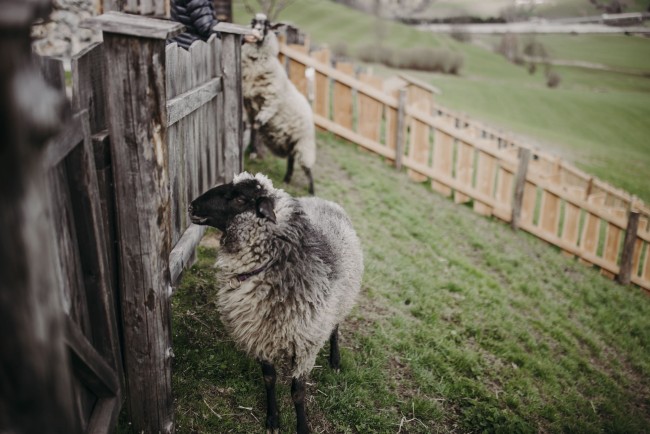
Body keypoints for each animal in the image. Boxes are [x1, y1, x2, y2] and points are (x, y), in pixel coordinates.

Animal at [188, 172, 364, 434]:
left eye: (240, 199)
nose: (191, 206)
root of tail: (325, 200)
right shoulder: (261, 334)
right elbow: (269, 379)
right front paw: (273, 419)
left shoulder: (306, 345)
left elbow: (298, 392)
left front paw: (302, 427)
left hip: (340, 301)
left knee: (334, 327)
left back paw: (335, 359)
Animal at [242, 14, 317, 195]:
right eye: (253, 21)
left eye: (267, 24)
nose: (257, 30)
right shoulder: (248, 104)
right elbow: (252, 127)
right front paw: (253, 150)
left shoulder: (271, 102)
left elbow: (256, 125)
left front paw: (253, 152)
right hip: (292, 142)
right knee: (291, 159)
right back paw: (287, 179)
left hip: (304, 143)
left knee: (307, 168)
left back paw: (312, 190)